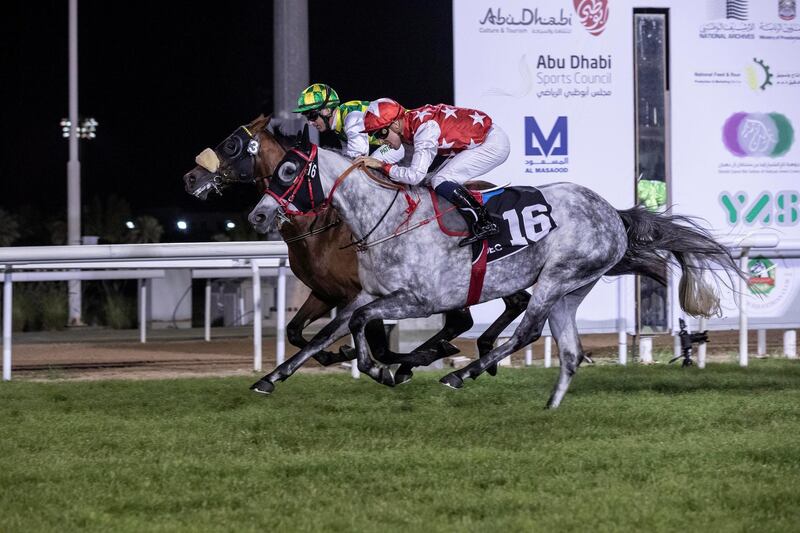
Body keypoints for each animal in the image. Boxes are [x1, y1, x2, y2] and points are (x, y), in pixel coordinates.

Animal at [181, 115, 532, 382]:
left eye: (231, 144)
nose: (190, 178)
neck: (322, 224)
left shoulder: (362, 291)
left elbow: (376, 344)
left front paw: (392, 362)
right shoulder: (325, 292)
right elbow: (297, 331)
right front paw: (333, 355)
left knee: (467, 319)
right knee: (510, 304)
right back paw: (480, 349)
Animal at [245, 128, 736, 408]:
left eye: (288, 171)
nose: (258, 215)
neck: (387, 218)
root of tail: (612, 213)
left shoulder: (418, 299)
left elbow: (362, 325)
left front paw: (382, 369)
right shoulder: (365, 292)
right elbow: (331, 331)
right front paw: (271, 378)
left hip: (555, 278)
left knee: (527, 332)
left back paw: (460, 374)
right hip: (573, 288)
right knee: (569, 350)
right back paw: (548, 407)